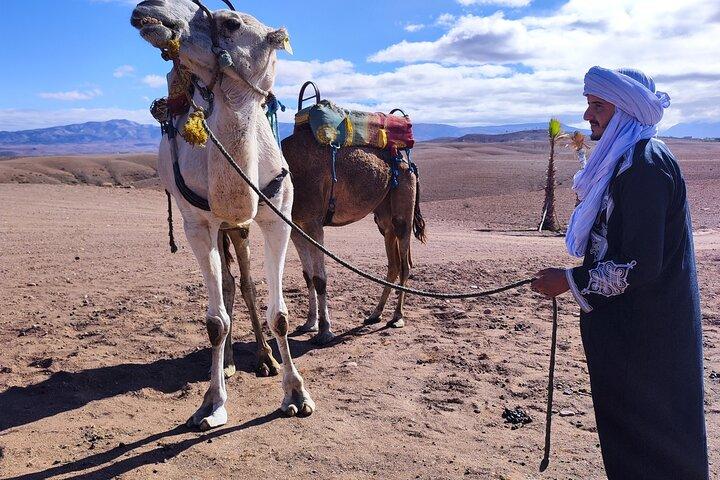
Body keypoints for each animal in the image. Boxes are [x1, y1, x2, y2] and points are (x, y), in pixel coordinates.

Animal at [130, 0, 314, 429]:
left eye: (230, 22)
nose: (149, 9)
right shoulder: (197, 225)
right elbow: (214, 321)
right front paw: (212, 403)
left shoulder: (277, 220)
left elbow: (279, 314)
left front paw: (296, 394)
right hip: (220, 227)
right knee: (229, 285)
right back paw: (228, 362)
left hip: (240, 227)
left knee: (243, 283)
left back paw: (265, 359)